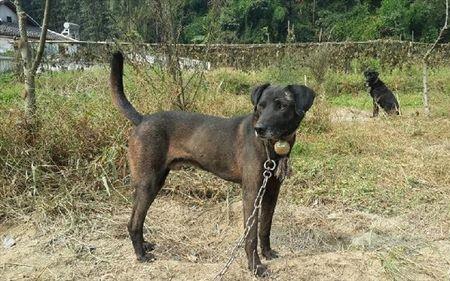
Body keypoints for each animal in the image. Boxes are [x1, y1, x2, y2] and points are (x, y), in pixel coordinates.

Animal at [110, 52, 314, 276]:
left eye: (282, 106)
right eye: (261, 106)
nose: (260, 129)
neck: (271, 146)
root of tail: (143, 119)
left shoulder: (271, 191)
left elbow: (265, 227)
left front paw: (267, 253)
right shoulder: (251, 191)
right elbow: (250, 234)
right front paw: (255, 266)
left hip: (156, 181)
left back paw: (144, 246)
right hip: (148, 182)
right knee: (133, 222)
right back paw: (141, 255)